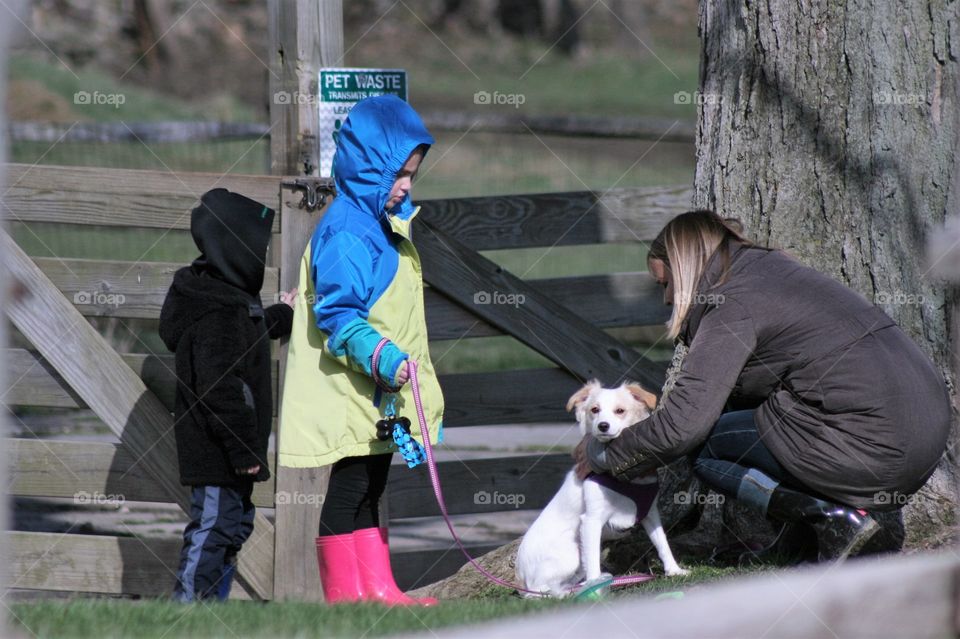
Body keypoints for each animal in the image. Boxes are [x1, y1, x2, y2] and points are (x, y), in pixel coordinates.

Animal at [516, 380, 688, 596]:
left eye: (620, 411)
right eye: (594, 410)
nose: (602, 425)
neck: (624, 480)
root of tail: (521, 574)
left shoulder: (650, 514)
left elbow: (662, 542)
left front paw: (674, 570)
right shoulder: (591, 521)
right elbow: (593, 562)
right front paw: (595, 588)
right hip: (570, 555)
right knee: (537, 591)